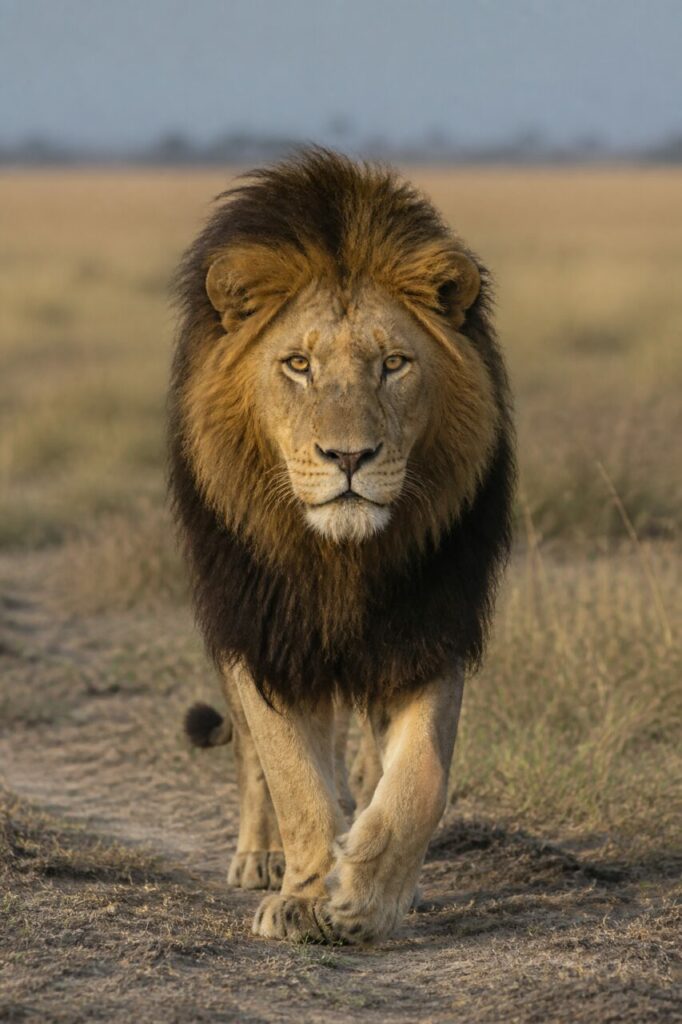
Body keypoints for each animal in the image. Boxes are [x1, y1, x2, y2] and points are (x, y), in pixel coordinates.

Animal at [169, 149, 515, 943]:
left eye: (394, 364)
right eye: (297, 365)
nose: (349, 457)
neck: (341, 560)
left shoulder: (430, 623)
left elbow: (420, 777)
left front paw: (369, 896)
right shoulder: (262, 629)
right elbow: (292, 776)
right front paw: (301, 899)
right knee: (262, 758)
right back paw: (263, 858)